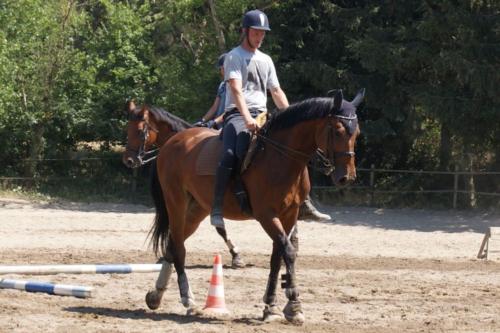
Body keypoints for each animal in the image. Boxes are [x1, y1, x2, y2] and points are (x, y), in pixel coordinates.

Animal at [145, 89, 364, 322]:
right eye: (338, 130)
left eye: (357, 133)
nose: (346, 177)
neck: (280, 158)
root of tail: (172, 142)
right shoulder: (266, 214)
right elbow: (288, 252)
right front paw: (294, 303)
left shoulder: (289, 214)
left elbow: (278, 257)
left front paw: (271, 306)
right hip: (176, 202)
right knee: (178, 247)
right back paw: (188, 300)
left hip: (197, 209)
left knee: (172, 244)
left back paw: (156, 295)